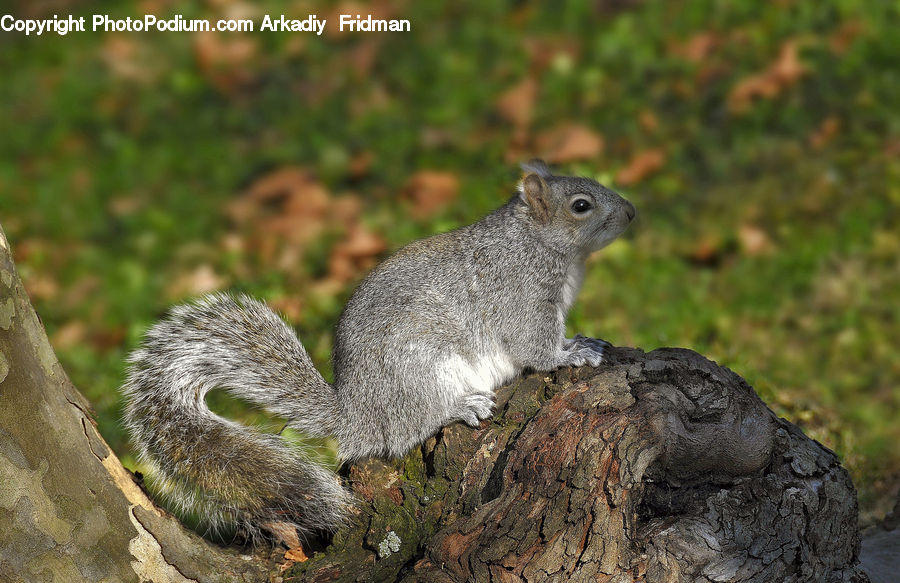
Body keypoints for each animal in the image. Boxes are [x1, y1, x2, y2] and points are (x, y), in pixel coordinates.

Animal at [123, 159, 636, 544]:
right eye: (582, 205)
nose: (631, 211)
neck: (536, 240)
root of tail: (358, 415)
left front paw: (584, 340)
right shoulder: (520, 293)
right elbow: (534, 344)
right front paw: (571, 354)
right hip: (421, 369)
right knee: (408, 430)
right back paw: (461, 407)